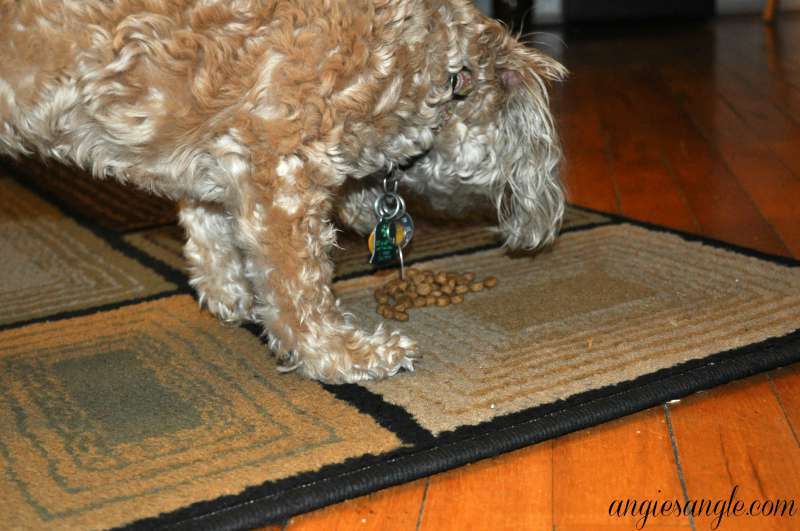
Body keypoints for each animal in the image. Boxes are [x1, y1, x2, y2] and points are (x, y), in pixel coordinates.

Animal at [0, 0, 564, 382]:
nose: (541, 230)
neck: (423, 64)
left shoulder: (220, 155)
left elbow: (207, 227)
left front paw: (229, 293)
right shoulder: (280, 170)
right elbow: (300, 290)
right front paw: (341, 354)